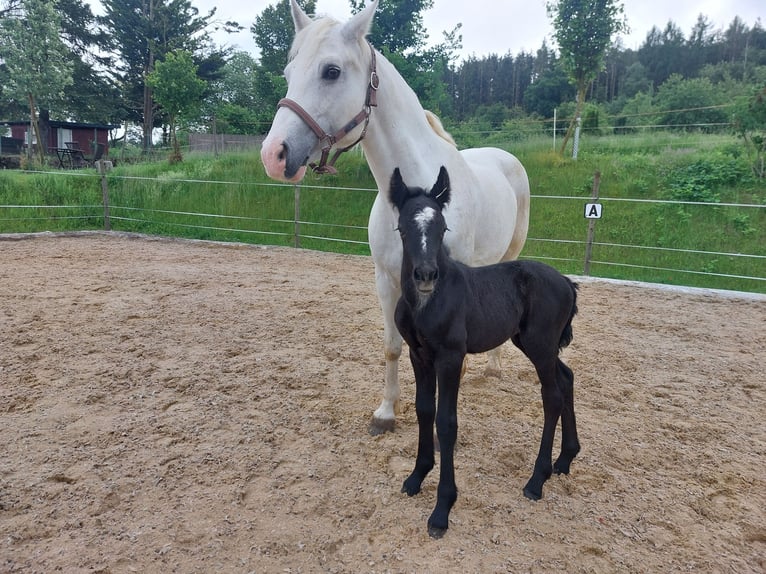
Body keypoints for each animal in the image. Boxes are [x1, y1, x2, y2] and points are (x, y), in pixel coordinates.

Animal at [260, 0, 530, 435]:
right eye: (288, 74)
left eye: (331, 71)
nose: (274, 154)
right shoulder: (386, 282)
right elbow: (392, 346)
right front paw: (387, 412)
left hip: (510, 254)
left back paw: (492, 369)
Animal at [390, 166, 580, 538]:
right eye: (402, 228)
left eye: (443, 228)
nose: (426, 275)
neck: (427, 303)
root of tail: (566, 282)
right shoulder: (419, 355)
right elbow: (424, 411)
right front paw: (416, 477)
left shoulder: (451, 357)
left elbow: (446, 422)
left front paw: (442, 509)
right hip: (534, 344)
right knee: (566, 378)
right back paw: (565, 459)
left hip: (540, 344)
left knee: (551, 395)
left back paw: (537, 480)